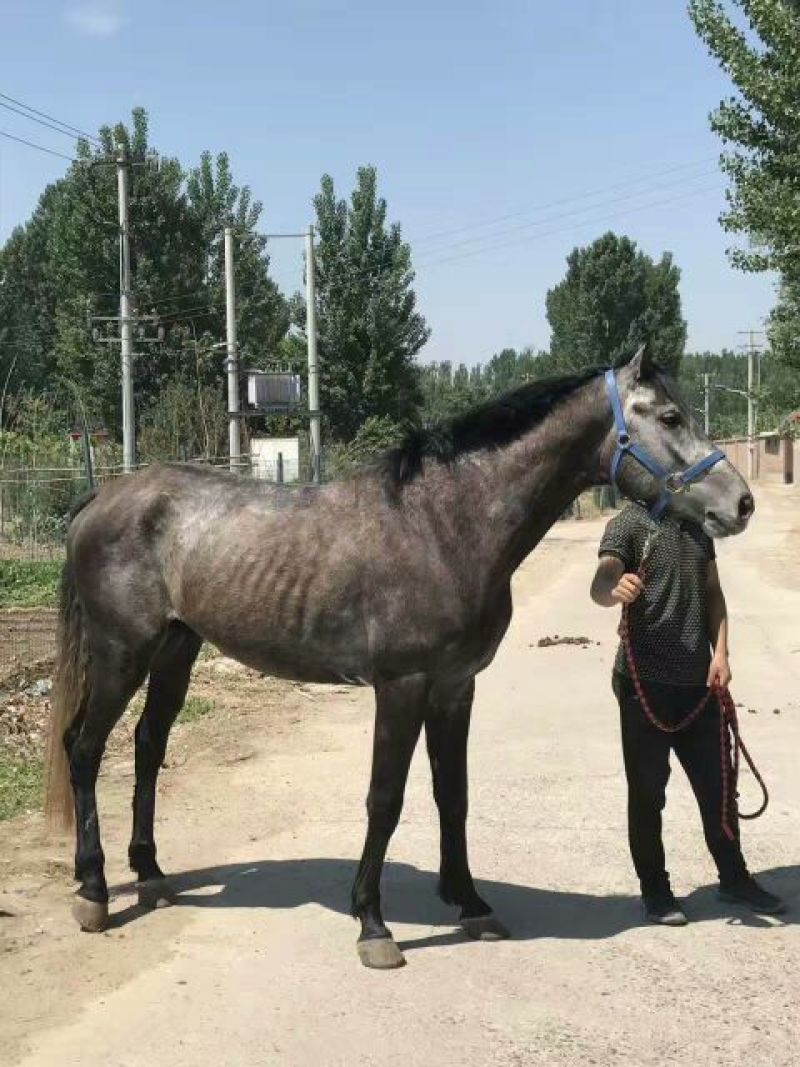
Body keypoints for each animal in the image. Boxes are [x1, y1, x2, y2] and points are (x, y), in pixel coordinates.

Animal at [44, 345, 753, 968]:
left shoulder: (455, 687)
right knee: (85, 749)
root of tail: (101, 499)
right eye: (670, 417)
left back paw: (151, 873)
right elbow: (384, 799)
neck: (444, 525)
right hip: (121, 652)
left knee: (147, 747)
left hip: (176, 649)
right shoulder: (402, 686)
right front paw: (373, 924)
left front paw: (470, 903)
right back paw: (94, 892)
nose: (740, 503)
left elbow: (453, 793)